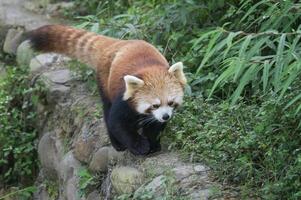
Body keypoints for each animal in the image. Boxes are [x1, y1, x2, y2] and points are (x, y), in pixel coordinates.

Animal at [28, 25, 188, 155]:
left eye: (171, 102)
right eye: (155, 105)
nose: (166, 116)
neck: (151, 70)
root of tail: (118, 43)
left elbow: (154, 126)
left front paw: (153, 143)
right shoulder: (123, 98)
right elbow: (117, 123)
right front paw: (139, 146)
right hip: (104, 80)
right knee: (107, 110)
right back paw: (117, 144)